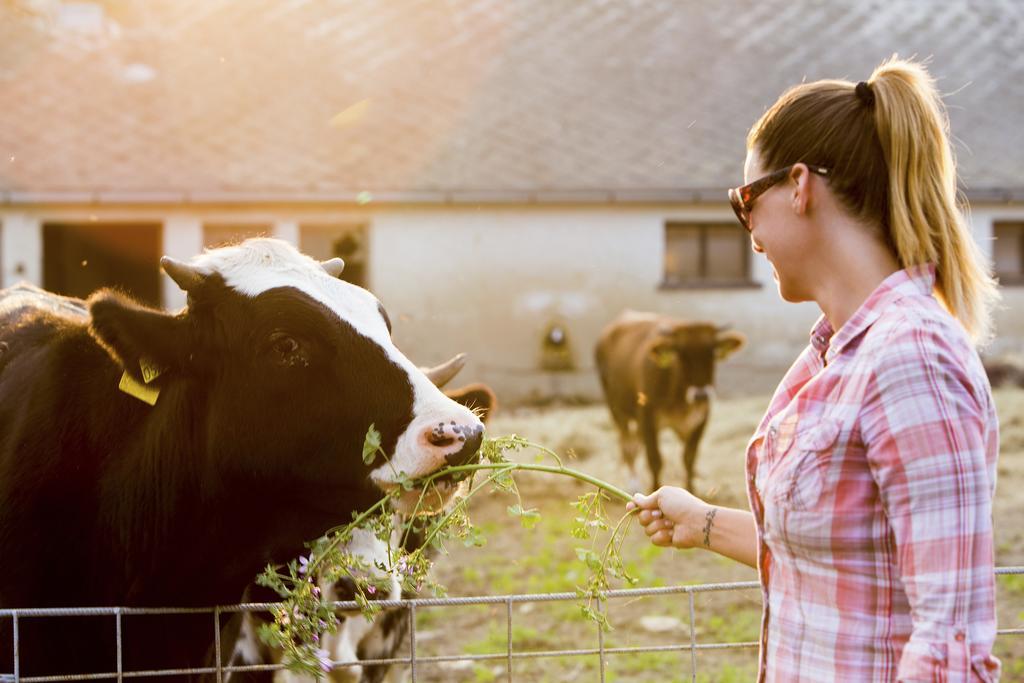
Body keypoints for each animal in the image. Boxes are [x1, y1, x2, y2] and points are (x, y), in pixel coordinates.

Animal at [593, 313, 745, 493]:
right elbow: (655, 460)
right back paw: (633, 483)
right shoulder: (647, 419)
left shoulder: (700, 419)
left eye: (711, 353)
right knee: (627, 446)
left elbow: (689, 458)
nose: (701, 395)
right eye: (681, 354)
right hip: (617, 410)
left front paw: (691, 490)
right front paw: (654, 489)